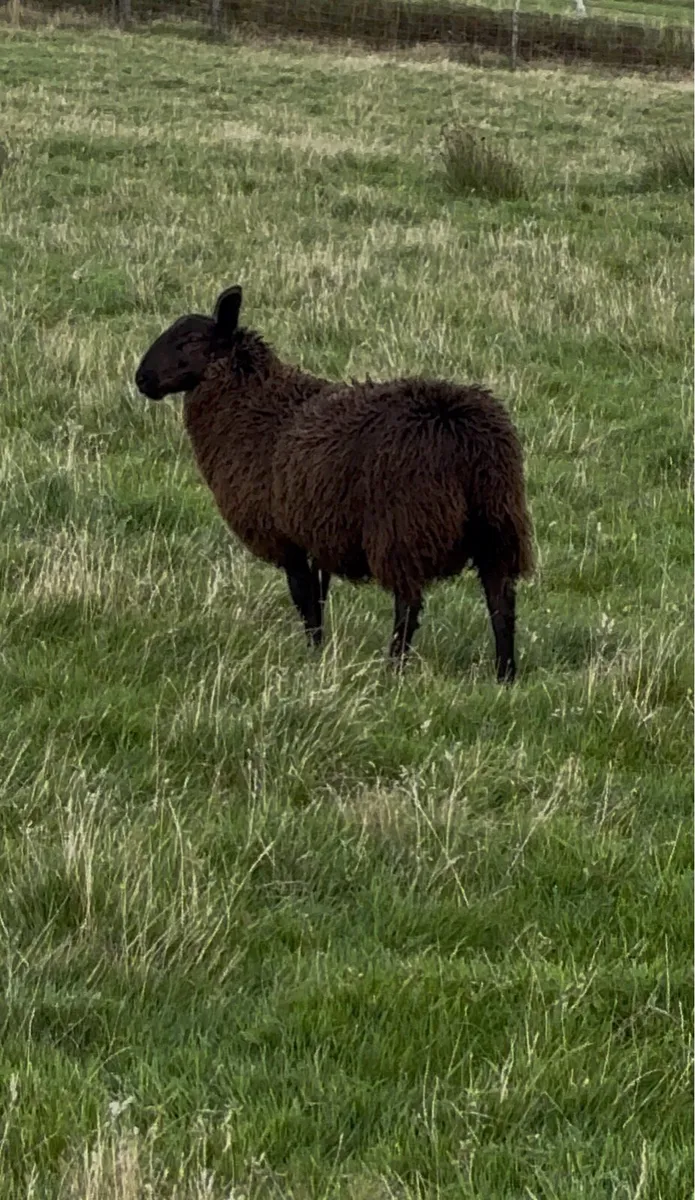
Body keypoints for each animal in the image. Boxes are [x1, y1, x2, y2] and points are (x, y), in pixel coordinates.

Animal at [135, 285, 533, 682]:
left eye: (190, 340)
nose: (141, 379)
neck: (256, 407)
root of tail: (465, 434)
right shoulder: (316, 532)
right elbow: (319, 596)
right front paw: (321, 651)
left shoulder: (287, 537)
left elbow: (304, 599)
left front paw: (311, 654)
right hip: (498, 523)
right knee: (501, 601)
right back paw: (505, 673)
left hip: (404, 526)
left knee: (409, 604)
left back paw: (393, 668)